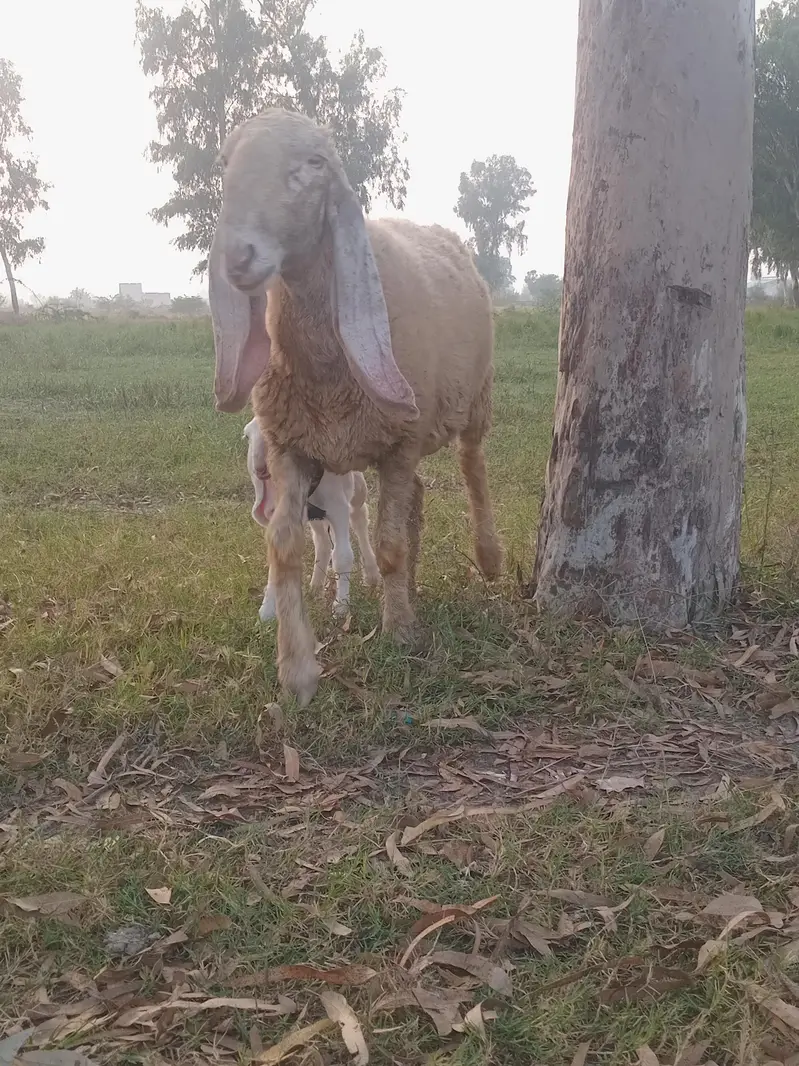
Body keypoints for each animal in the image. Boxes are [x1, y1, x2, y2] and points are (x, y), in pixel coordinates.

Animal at [243, 417, 380, 619]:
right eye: (248, 436)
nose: (260, 470)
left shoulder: (338, 506)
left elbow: (343, 555)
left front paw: (341, 606)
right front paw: (267, 610)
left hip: (356, 489)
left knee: (360, 520)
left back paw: (371, 575)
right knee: (322, 541)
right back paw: (315, 587)